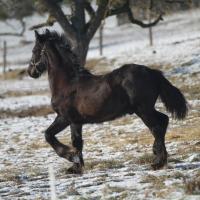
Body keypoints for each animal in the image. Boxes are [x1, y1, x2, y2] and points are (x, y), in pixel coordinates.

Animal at [27, 29, 188, 173]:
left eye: (34, 50)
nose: (31, 72)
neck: (68, 83)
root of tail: (152, 72)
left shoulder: (65, 117)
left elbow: (50, 135)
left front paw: (71, 157)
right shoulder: (76, 121)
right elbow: (77, 142)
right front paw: (76, 167)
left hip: (143, 110)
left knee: (157, 128)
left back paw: (158, 163)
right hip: (145, 109)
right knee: (164, 120)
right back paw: (159, 156)